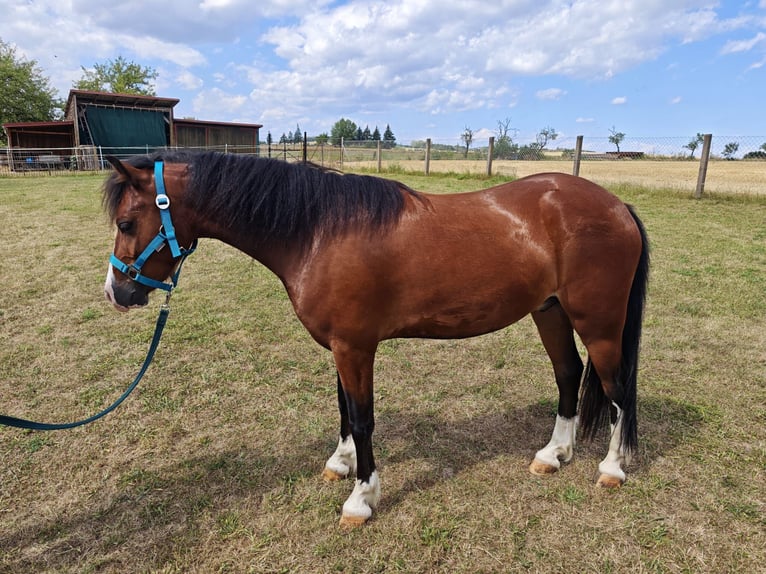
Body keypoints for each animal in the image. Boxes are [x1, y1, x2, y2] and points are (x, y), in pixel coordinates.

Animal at [103, 150, 649, 527]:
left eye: (127, 222)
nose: (117, 293)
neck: (318, 231)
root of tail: (616, 205)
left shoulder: (355, 347)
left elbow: (363, 419)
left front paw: (361, 499)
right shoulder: (340, 346)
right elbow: (344, 409)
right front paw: (340, 464)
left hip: (598, 322)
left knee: (618, 389)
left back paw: (612, 468)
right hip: (549, 312)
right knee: (569, 376)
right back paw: (553, 455)